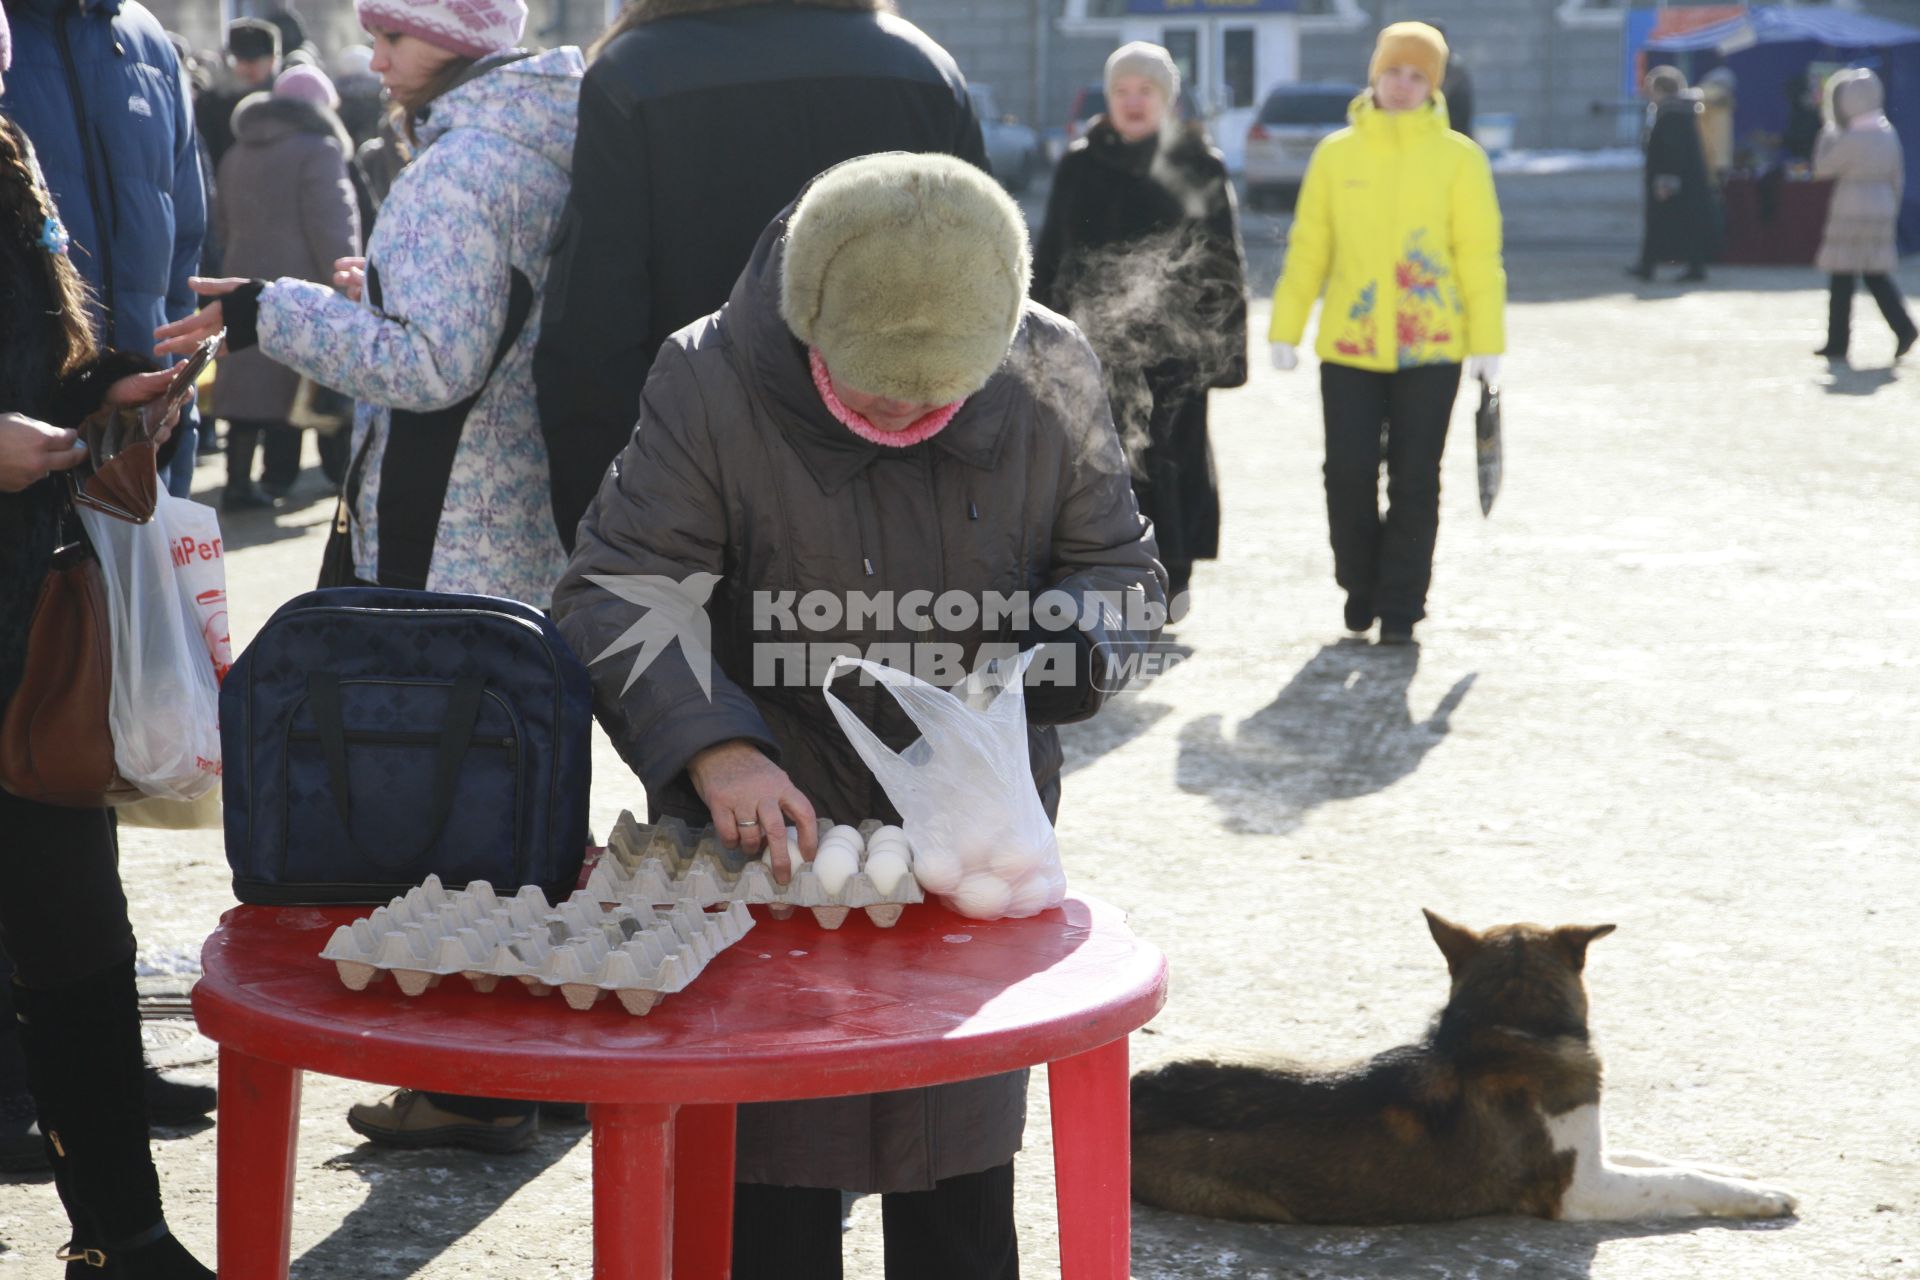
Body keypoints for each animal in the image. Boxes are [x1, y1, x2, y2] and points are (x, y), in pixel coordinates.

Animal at [1121, 917, 1797, 1228]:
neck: (1508, 1027)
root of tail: (1136, 1091)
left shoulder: (1592, 1151)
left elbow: (1663, 1158)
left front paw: (1743, 1172)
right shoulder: (1582, 1189)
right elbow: (1677, 1180)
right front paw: (1758, 1197)